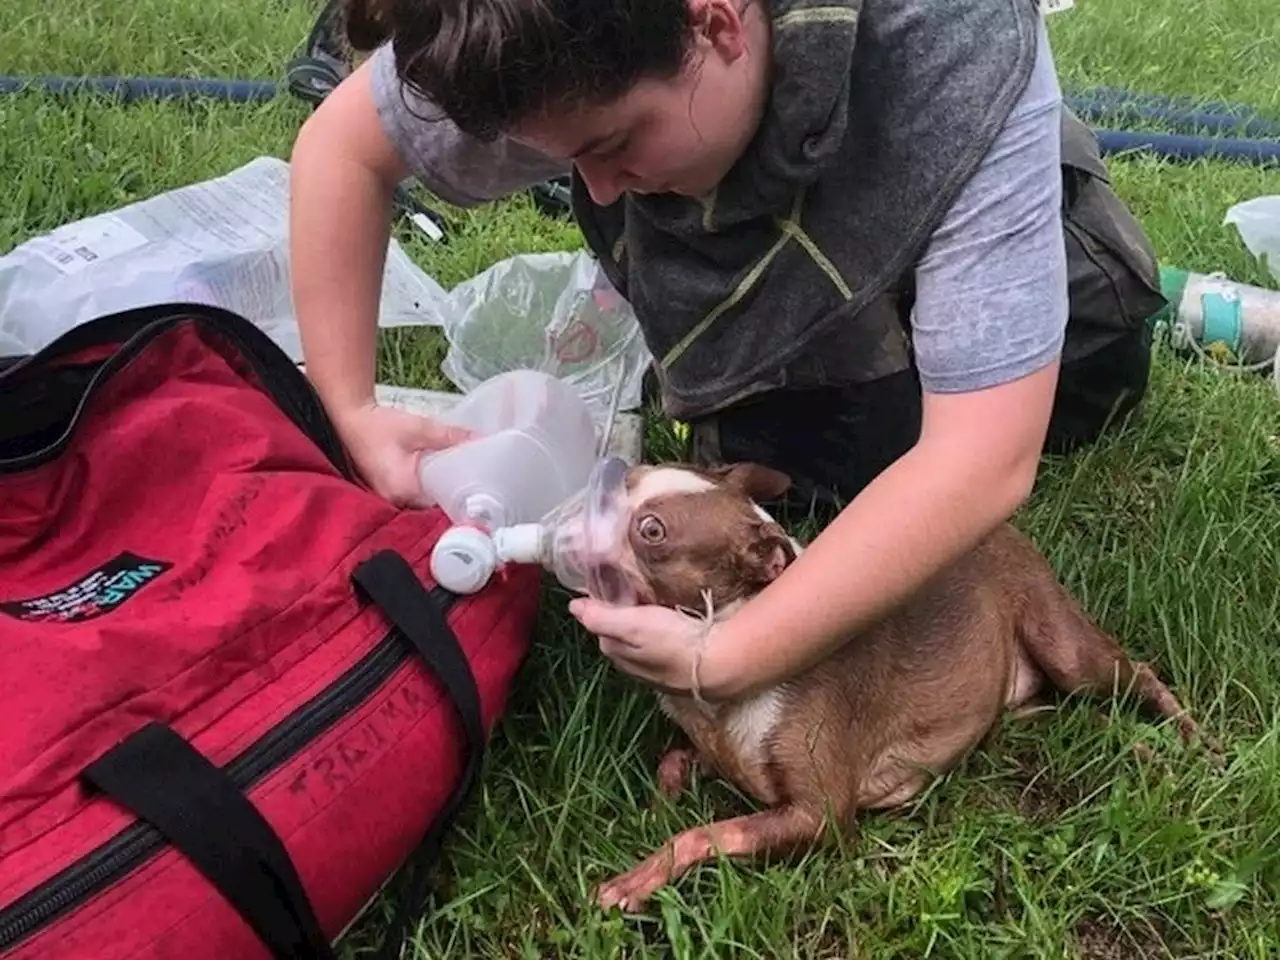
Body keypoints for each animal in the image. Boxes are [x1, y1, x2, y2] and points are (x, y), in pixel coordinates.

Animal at [586, 465, 1203, 916]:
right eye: (633, 474)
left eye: (652, 532)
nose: (597, 488)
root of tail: (1000, 526)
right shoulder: (720, 752)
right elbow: (674, 764)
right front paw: (656, 807)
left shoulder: (820, 819)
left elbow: (704, 833)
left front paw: (641, 875)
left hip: (1065, 647)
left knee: (1137, 673)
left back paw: (1189, 736)